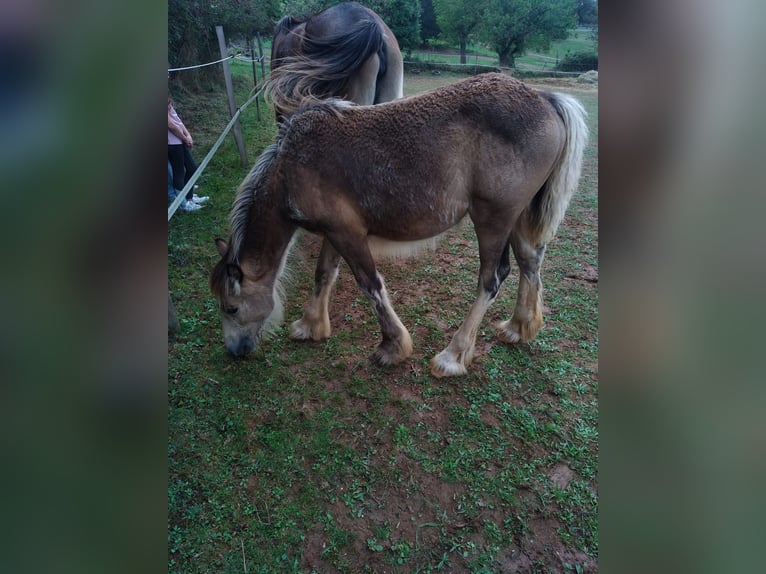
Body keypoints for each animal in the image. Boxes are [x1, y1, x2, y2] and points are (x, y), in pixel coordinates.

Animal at [210, 74, 588, 380]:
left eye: (231, 307)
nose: (235, 351)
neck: (290, 170)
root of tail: (544, 98)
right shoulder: (336, 232)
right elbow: (324, 274)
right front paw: (310, 325)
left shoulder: (349, 236)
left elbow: (370, 285)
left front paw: (392, 347)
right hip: (517, 218)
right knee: (529, 262)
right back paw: (519, 327)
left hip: (493, 219)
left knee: (491, 280)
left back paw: (453, 356)